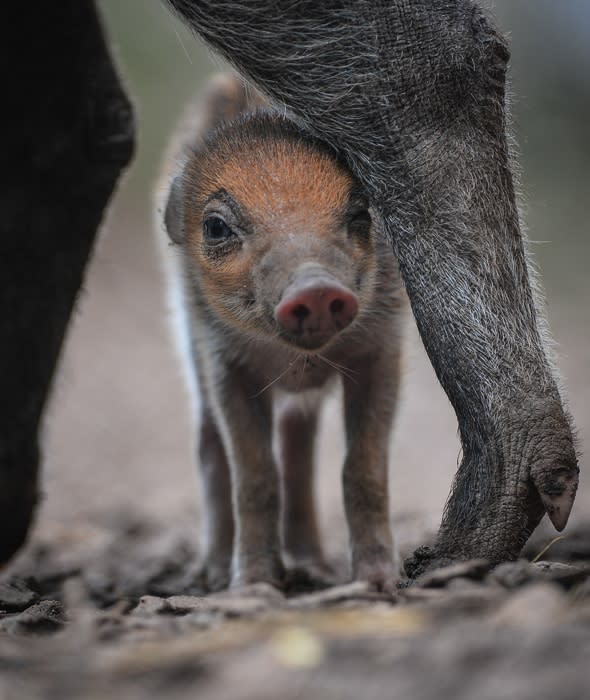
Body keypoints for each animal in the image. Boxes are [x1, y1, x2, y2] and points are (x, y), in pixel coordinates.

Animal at [158, 75, 408, 592]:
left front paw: (379, 585)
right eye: (216, 227)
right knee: (210, 442)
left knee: (298, 440)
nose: (315, 287)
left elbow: (363, 469)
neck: (296, 362)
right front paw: (254, 586)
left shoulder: (382, 349)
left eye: (360, 213)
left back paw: (313, 567)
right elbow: (254, 476)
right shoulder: (222, 361)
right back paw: (213, 575)